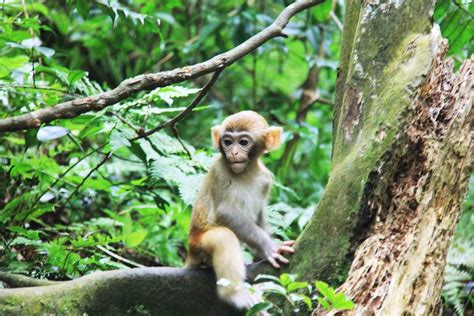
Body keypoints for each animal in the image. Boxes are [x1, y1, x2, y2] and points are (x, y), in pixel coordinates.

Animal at [184, 110, 292, 308]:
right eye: (227, 141)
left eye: (243, 142)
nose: (233, 152)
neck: (247, 172)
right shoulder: (219, 169)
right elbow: (225, 212)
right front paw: (270, 247)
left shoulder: (266, 179)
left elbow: (260, 216)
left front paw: (261, 254)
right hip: (198, 245)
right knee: (224, 237)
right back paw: (234, 294)